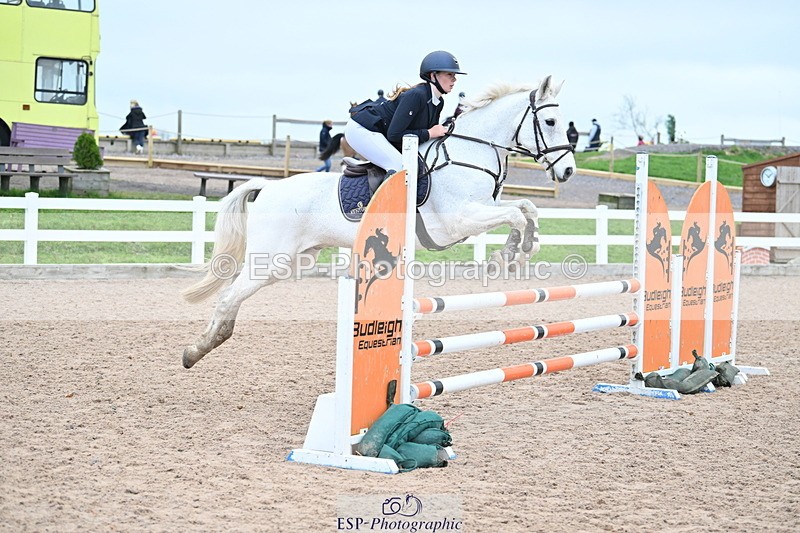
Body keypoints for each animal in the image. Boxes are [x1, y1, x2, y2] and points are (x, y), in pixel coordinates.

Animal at [181, 75, 576, 368]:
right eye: (551, 122)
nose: (569, 171)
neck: (469, 151)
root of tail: (267, 187)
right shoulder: (460, 221)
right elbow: (514, 214)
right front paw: (506, 256)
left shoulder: (481, 209)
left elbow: (526, 207)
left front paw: (526, 247)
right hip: (272, 258)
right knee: (228, 295)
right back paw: (194, 351)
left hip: (292, 261)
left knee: (235, 295)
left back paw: (207, 344)